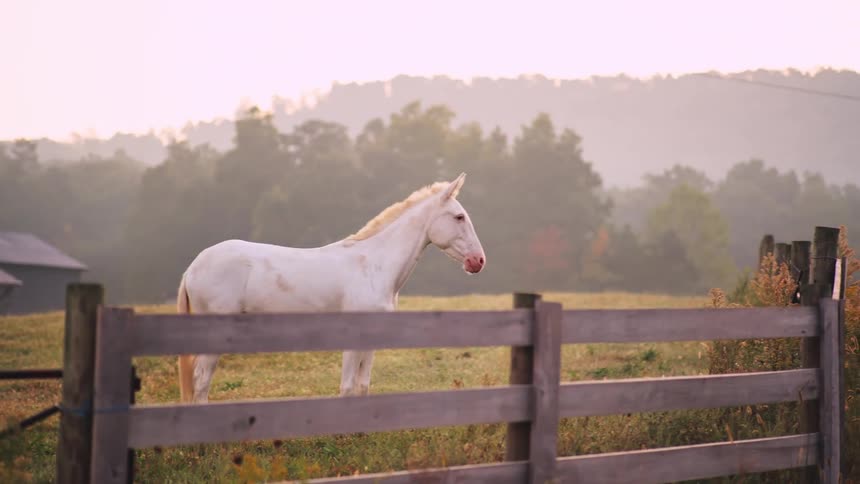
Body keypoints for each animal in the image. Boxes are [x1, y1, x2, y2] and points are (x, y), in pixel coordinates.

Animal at [176, 173, 486, 403]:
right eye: (459, 217)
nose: (478, 261)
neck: (374, 265)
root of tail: (193, 267)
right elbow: (347, 387)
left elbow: (362, 385)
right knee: (201, 382)